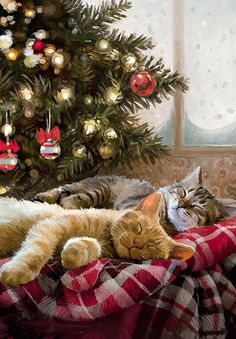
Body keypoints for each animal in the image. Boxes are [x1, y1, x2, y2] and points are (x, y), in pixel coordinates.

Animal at [0, 193, 195, 286]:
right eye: (139, 228)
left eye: (151, 246)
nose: (137, 243)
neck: (104, 235)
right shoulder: (52, 225)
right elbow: (38, 250)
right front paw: (19, 270)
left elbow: (91, 248)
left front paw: (74, 253)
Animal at [35, 168, 236, 234]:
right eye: (184, 192)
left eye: (197, 208)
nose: (180, 204)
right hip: (98, 190)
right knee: (64, 193)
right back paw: (44, 197)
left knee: (65, 194)